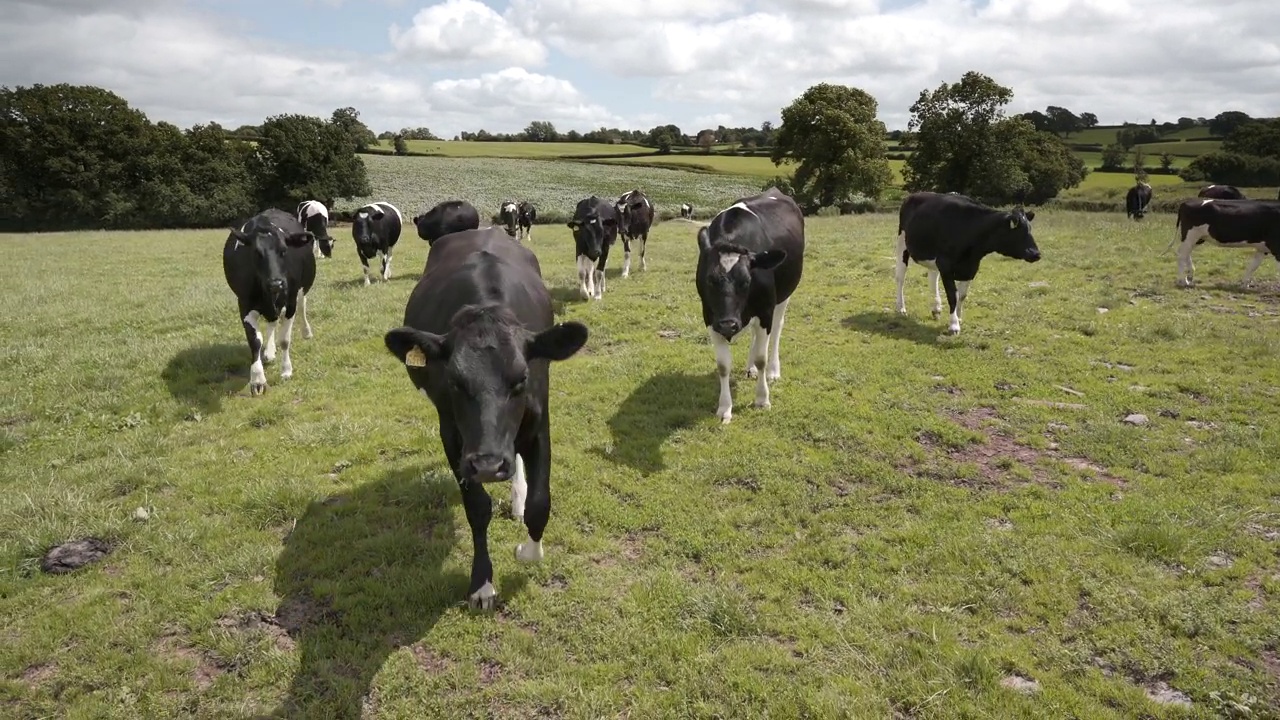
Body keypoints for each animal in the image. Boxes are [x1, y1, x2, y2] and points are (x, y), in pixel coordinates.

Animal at [222, 207, 317, 394]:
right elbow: (255, 341)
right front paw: (257, 379)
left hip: (301, 290)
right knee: (272, 322)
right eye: (256, 253)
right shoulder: (244, 304)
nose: (276, 283)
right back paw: (270, 351)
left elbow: (285, 340)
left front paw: (286, 370)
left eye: (284, 250)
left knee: (302, 307)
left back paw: (306, 332)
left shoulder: (291, 302)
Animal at [381, 226, 586, 607]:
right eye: (454, 381)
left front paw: (528, 551)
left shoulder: (539, 421)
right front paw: (482, 583)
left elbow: (540, 502)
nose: (489, 465)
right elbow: (477, 506)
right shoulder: (454, 436)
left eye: (522, 378)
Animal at [696, 185, 803, 420]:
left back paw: (773, 371)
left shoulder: (765, 311)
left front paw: (762, 399)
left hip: (784, 296)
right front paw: (724, 408)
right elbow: (723, 366)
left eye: (746, 281)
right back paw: (750, 368)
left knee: (777, 330)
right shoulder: (711, 318)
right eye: (709, 280)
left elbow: (762, 357)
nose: (728, 324)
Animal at [896, 190, 1044, 335]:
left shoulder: (971, 268)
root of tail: (917, 194)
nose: (1036, 254)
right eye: (1019, 232)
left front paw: (959, 317)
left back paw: (936, 309)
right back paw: (901, 308)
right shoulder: (946, 265)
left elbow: (962, 295)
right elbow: (953, 295)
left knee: (933, 277)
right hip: (902, 242)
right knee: (900, 278)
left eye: (1030, 229)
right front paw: (954, 325)